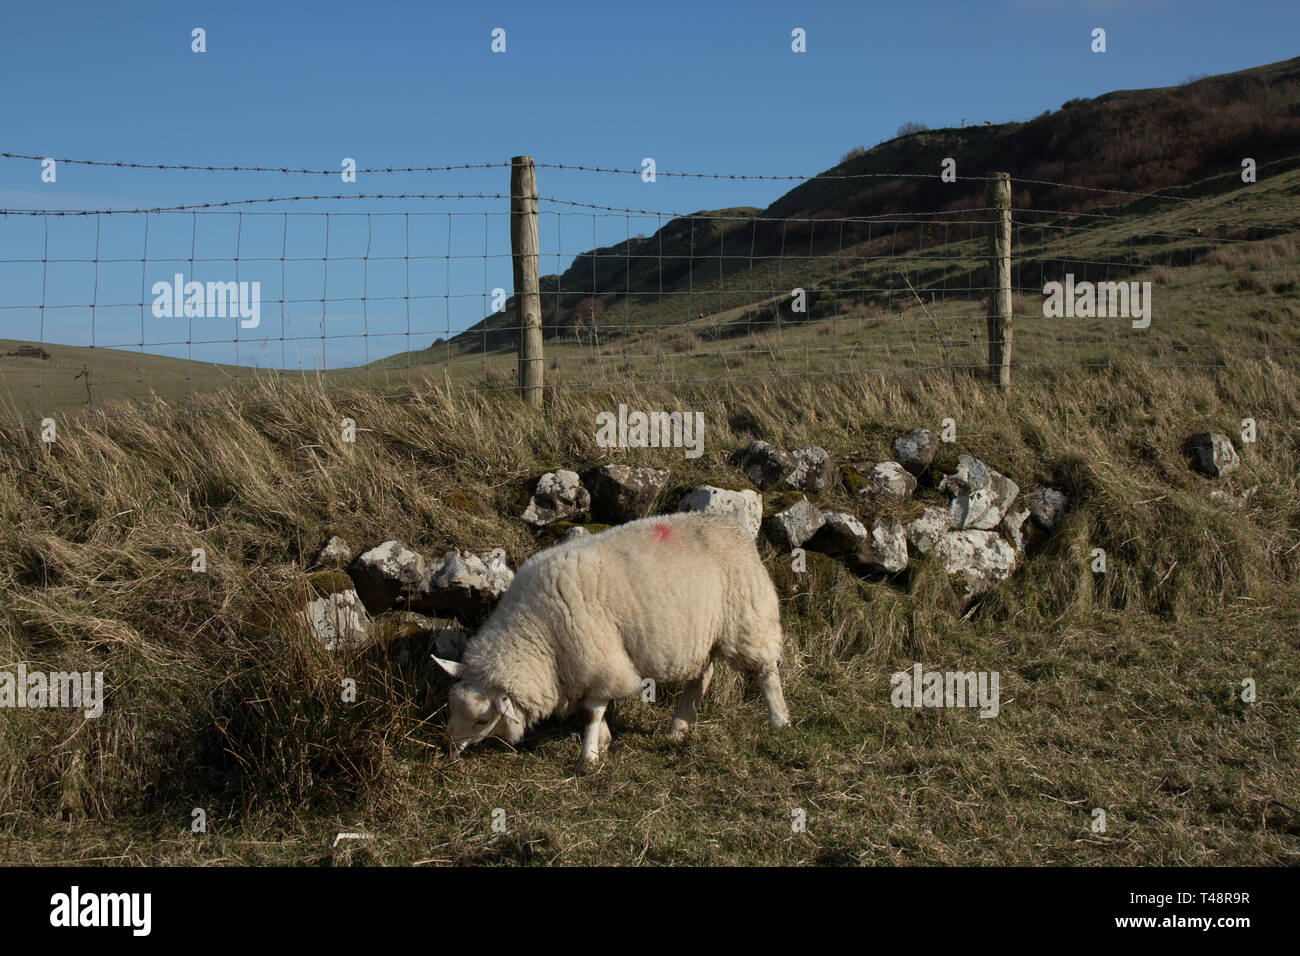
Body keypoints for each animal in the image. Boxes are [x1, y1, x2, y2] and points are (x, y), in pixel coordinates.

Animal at [434, 512, 790, 764]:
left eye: (482, 720)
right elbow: (592, 708)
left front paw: (588, 758)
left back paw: (780, 721)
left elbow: (592, 712)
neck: (536, 633)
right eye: (451, 704)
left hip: (747, 616)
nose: (450, 749)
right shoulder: (583, 667)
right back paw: (679, 728)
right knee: (703, 675)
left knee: (766, 670)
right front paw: (603, 742)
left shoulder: (599, 658)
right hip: (701, 633)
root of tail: (732, 525)